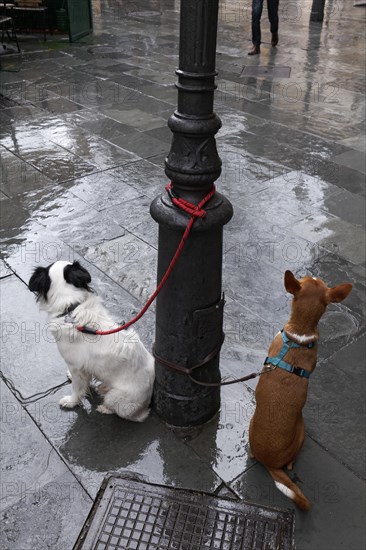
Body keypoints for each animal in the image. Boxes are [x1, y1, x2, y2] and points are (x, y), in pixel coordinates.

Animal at [28, 262, 154, 422]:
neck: (70, 307)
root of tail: (147, 403)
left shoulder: (75, 366)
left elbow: (77, 388)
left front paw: (71, 402)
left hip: (117, 398)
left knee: (124, 413)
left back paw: (105, 408)